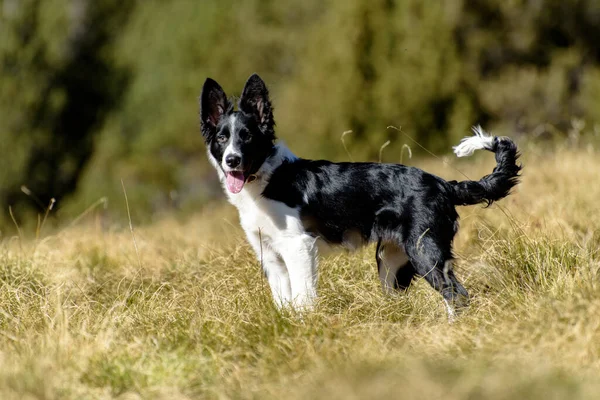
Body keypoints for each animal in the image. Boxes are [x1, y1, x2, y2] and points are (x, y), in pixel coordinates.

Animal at [202, 73, 520, 318]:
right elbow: (284, 302)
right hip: (391, 261)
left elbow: (303, 299)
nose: (232, 160)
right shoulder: (270, 256)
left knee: (457, 294)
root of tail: (443, 184)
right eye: (222, 138)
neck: (267, 178)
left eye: (247, 136)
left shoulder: (299, 246)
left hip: (424, 251)